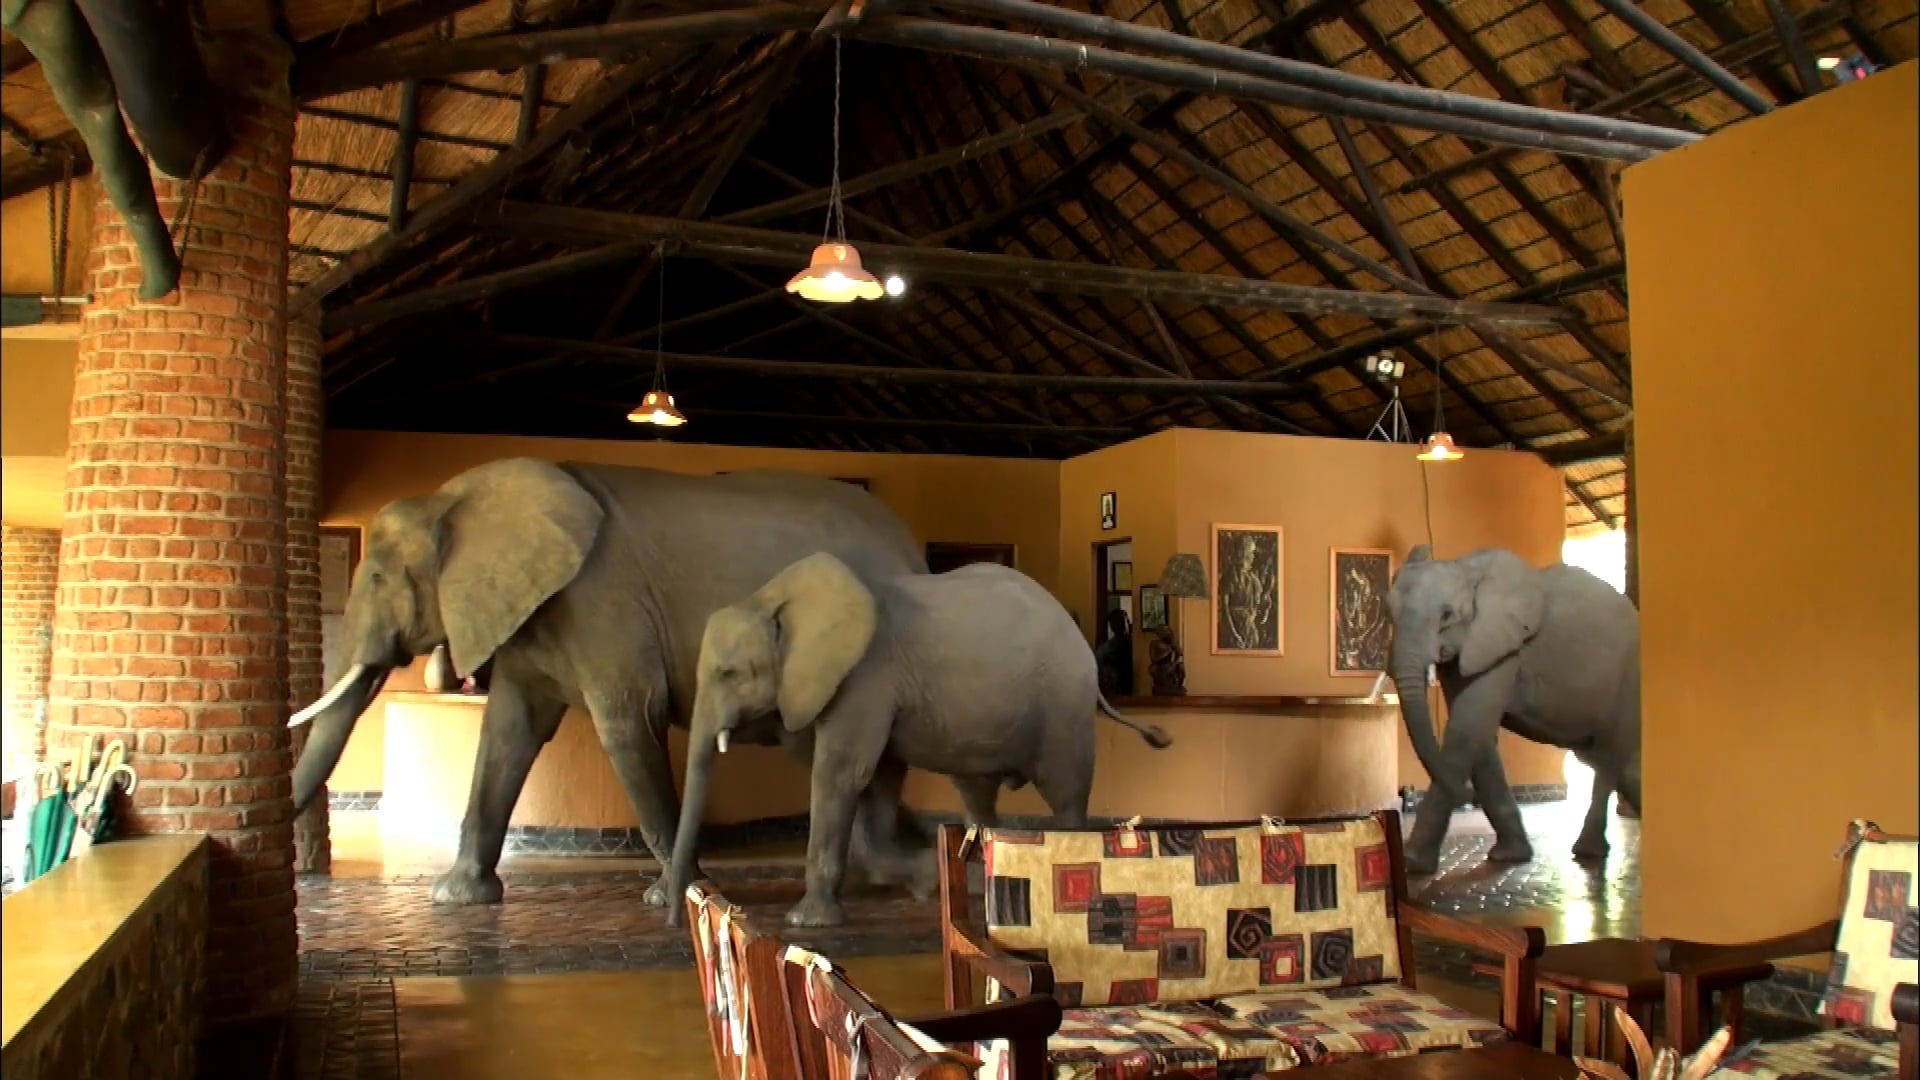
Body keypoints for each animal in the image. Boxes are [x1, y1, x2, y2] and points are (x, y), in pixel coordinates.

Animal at [288, 458, 931, 907]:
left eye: (376, 577)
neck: (455, 499)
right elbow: (508, 733)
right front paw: (458, 898)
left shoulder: (604, 605)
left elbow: (628, 724)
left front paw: (675, 896)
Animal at [665, 552, 1172, 928]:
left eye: (729, 673)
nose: (675, 915)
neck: (773, 599)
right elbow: (878, 777)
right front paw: (925, 879)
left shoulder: (866, 678)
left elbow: (841, 773)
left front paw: (806, 922)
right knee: (977, 795)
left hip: (1064, 706)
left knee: (1065, 794)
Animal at [1387, 545, 1640, 876]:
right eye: (1388, 612)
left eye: (1447, 615)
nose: (1407, 795)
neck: (1466, 569)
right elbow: (1480, 738)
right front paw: (1509, 856)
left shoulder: (1503, 646)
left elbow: (1468, 729)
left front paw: (1412, 864)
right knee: (1608, 761)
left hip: (1628, 679)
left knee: (1610, 756)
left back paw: (1588, 851)